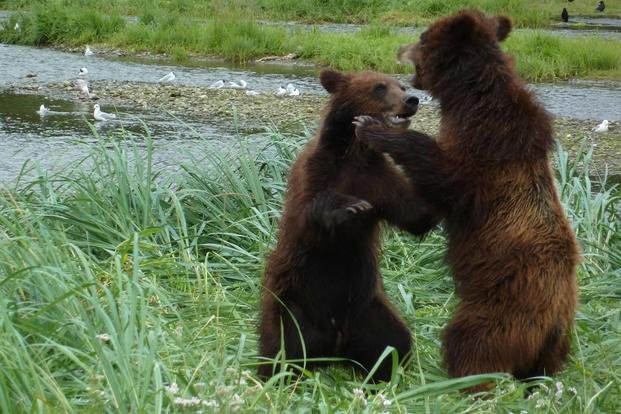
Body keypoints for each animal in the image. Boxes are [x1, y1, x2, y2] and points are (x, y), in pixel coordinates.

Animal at [256, 68, 436, 382]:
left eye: (401, 86)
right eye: (379, 88)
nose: (412, 100)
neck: (354, 153)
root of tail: (334, 345)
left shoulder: (380, 181)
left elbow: (417, 214)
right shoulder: (317, 171)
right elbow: (307, 217)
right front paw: (348, 206)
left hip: (369, 311)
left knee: (394, 344)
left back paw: (384, 373)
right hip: (295, 302)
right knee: (284, 347)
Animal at [352, 10, 580, 392]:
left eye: (421, 37)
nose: (399, 47)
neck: (469, 97)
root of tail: (555, 322)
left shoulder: (487, 144)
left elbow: (447, 177)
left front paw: (373, 127)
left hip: (501, 308)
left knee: (473, 341)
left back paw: (465, 381)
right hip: (554, 347)